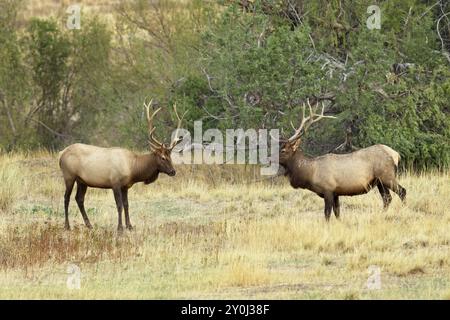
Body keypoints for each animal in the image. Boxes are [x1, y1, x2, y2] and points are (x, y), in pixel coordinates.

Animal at [59, 99, 186, 231]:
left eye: (170, 156)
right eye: (162, 157)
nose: (173, 171)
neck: (133, 168)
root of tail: (61, 154)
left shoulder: (126, 186)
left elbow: (126, 204)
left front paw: (129, 225)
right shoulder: (115, 183)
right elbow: (119, 205)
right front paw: (120, 227)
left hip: (82, 181)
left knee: (79, 199)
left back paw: (89, 225)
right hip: (69, 176)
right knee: (66, 198)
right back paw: (67, 225)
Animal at [274, 100, 408, 220]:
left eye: (283, 150)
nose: (271, 159)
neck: (311, 173)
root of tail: (396, 155)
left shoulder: (328, 189)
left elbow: (327, 214)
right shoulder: (336, 193)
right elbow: (337, 213)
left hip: (387, 176)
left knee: (402, 191)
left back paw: (405, 211)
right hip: (379, 181)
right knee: (387, 198)